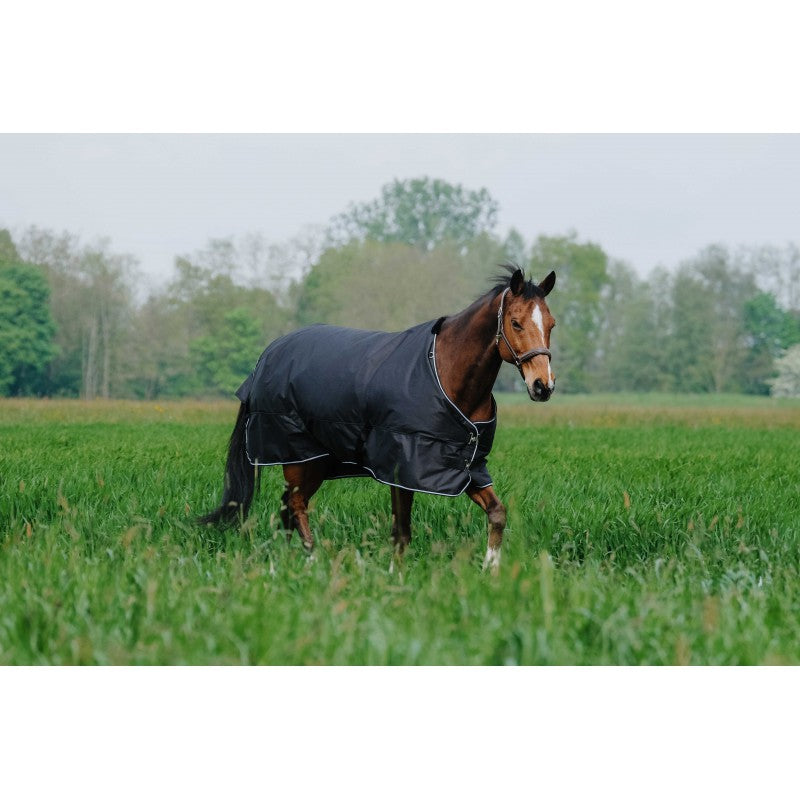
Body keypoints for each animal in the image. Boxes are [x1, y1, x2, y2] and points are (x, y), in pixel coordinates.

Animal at [200, 265, 556, 571]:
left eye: (551, 324)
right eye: (516, 322)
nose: (543, 386)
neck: (443, 373)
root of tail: (266, 357)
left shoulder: (467, 467)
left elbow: (497, 513)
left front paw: (491, 570)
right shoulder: (402, 467)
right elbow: (401, 532)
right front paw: (396, 576)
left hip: (316, 463)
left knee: (288, 506)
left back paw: (288, 561)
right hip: (298, 458)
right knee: (296, 505)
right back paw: (313, 560)